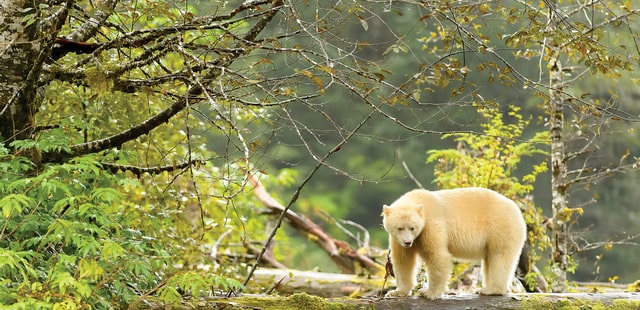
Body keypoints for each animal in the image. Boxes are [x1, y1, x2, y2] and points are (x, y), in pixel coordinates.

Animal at [380, 188, 524, 300]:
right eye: (399, 228)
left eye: (412, 228)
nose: (407, 242)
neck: (419, 201)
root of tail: (516, 209)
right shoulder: (397, 239)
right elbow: (403, 261)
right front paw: (396, 292)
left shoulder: (431, 225)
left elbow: (438, 256)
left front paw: (429, 293)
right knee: (490, 259)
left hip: (500, 226)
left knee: (499, 256)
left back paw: (491, 290)